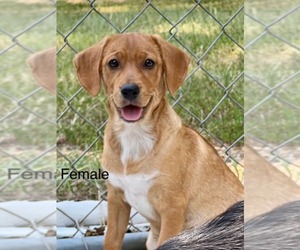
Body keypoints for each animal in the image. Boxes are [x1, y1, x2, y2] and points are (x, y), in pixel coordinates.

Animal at [73, 33, 244, 250]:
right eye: (113, 63)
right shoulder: (116, 199)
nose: (129, 90)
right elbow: (111, 239)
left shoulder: (171, 207)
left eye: (149, 63)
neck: (135, 137)